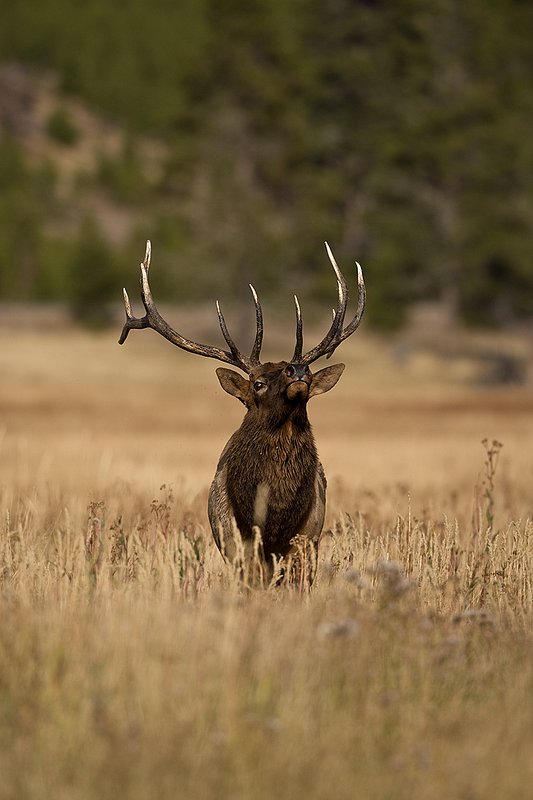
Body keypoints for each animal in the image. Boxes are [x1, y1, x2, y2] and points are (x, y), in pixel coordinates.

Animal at [119, 241, 365, 585]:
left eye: (306, 372)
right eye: (258, 383)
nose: (298, 369)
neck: (274, 517)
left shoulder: (307, 537)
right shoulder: (235, 542)